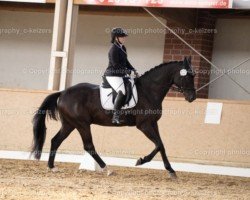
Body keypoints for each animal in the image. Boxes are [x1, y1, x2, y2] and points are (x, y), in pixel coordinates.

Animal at [30, 57, 195, 179]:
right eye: (187, 76)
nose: (192, 97)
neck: (149, 91)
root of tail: (63, 92)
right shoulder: (144, 125)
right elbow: (159, 144)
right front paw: (141, 161)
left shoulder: (153, 123)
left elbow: (161, 145)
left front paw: (171, 170)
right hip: (82, 124)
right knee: (89, 146)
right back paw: (107, 169)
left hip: (69, 124)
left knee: (56, 141)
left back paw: (52, 167)